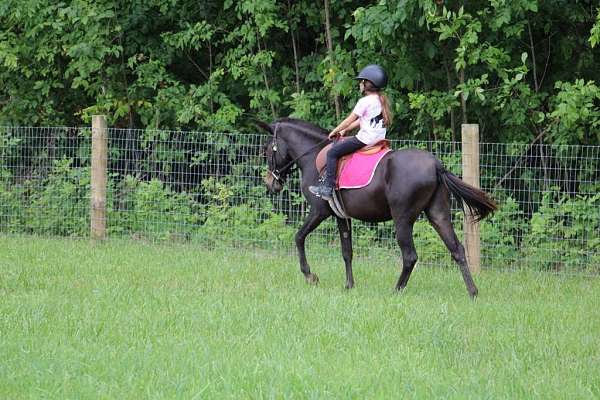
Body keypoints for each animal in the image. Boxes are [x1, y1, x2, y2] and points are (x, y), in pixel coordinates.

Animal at [262, 117, 496, 296]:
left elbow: (299, 237)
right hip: (438, 215)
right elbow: (347, 251)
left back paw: (396, 290)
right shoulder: (342, 216)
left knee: (410, 256)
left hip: (403, 220)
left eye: (267, 151)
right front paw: (349, 285)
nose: (271, 183)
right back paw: (473, 292)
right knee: (457, 249)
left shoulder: (319, 212)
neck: (313, 156)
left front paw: (310, 276)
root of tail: (436, 165)